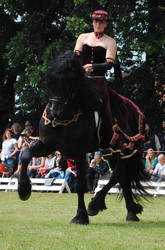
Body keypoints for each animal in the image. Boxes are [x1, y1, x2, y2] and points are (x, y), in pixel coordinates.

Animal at [18, 50, 149, 225]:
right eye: (50, 81)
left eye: (69, 81)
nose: (54, 112)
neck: (65, 118)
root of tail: (136, 109)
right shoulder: (47, 145)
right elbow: (25, 155)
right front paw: (23, 189)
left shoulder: (79, 152)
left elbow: (80, 185)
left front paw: (80, 216)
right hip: (115, 153)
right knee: (123, 178)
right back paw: (131, 213)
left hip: (126, 149)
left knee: (117, 175)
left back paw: (96, 204)